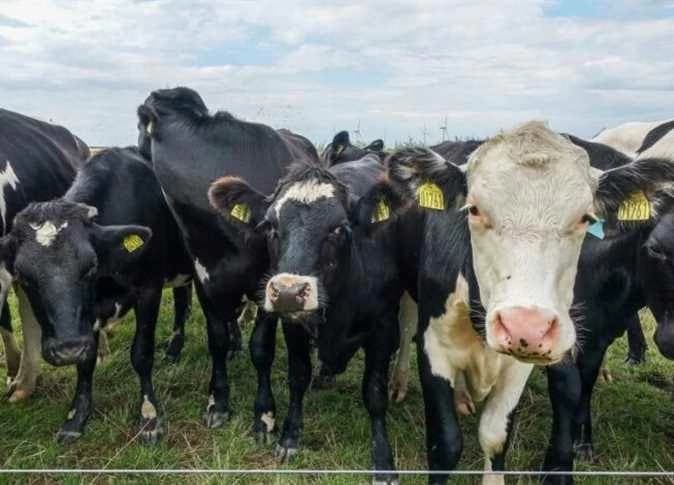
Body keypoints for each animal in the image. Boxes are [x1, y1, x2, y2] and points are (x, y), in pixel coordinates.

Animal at [0, 147, 194, 443]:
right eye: (23, 275)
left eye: (91, 265)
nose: (67, 348)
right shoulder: (87, 316)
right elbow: (85, 363)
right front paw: (76, 417)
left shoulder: (149, 290)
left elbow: (142, 353)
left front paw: (149, 416)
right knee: (183, 300)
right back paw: (173, 350)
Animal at [136, 86, 319, 430]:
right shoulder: (205, 278)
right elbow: (217, 339)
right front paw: (218, 400)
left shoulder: (269, 283)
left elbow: (261, 348)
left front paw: (264, 413)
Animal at [380, 121, 674, 484]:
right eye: (474, 209)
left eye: (586, 218)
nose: (526, 326)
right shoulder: (435, 347)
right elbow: (444, 444)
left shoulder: (521, 363)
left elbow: (495, 436)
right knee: (406, 324)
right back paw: (399, 382)